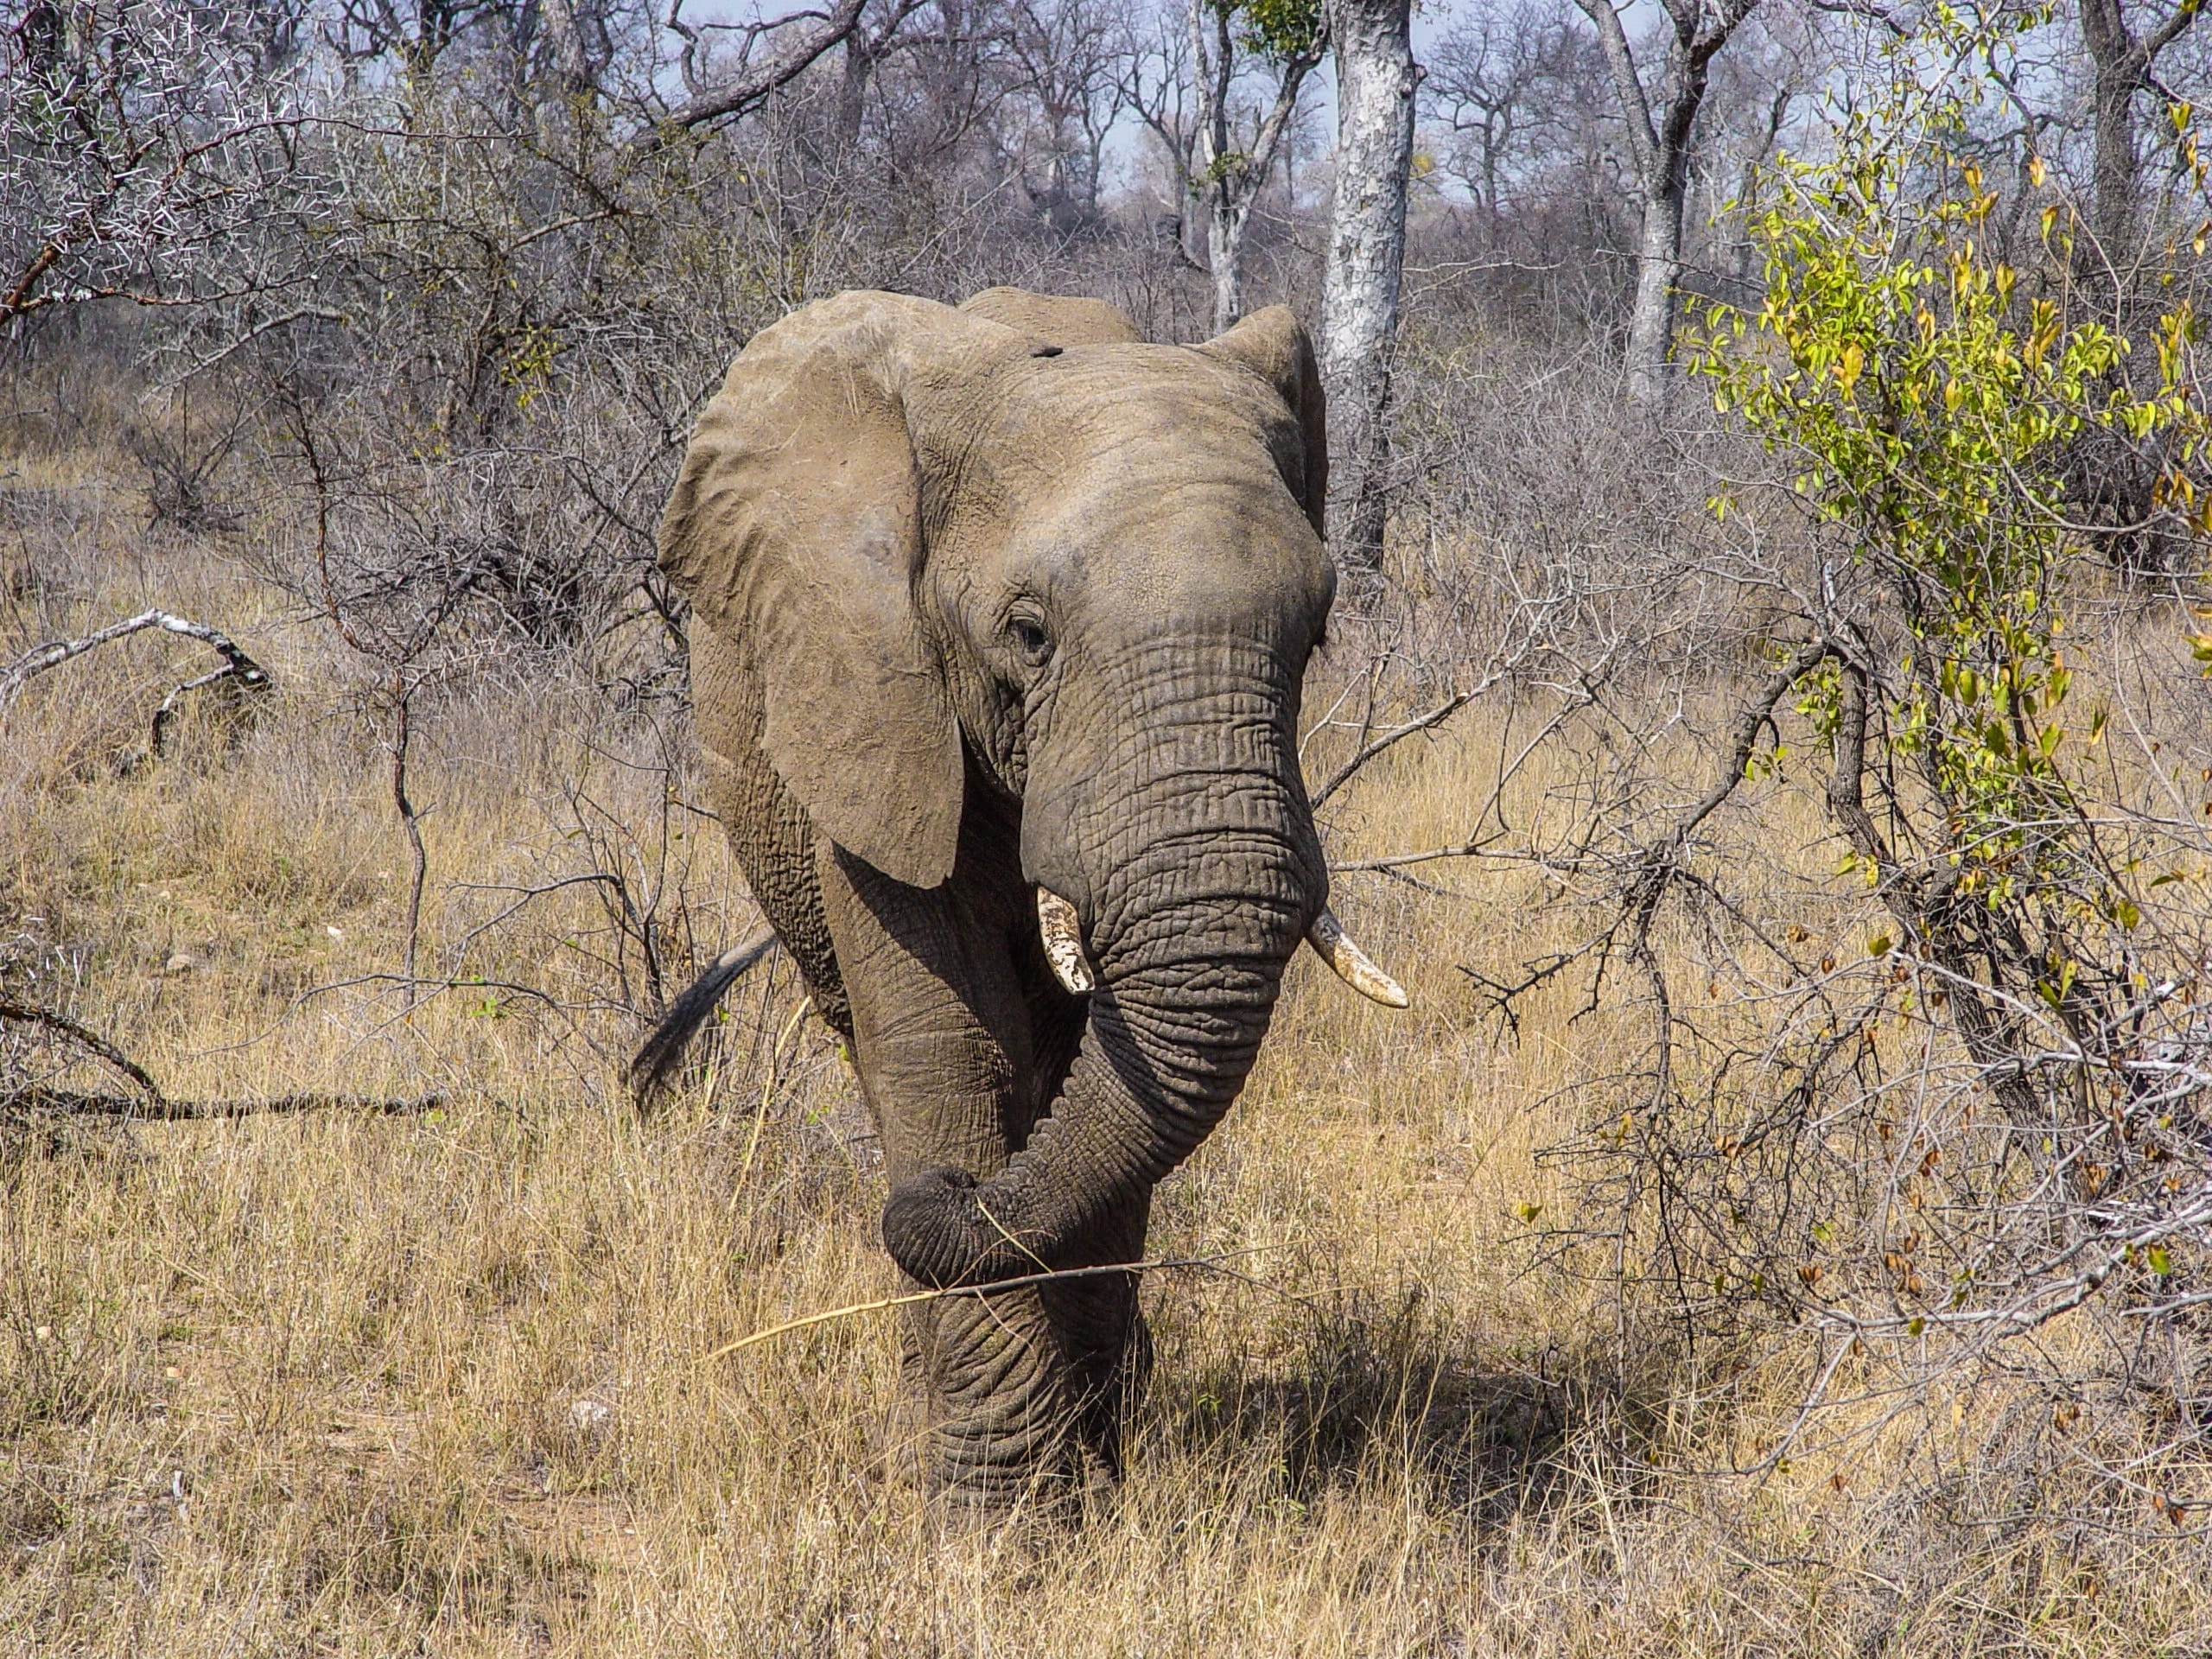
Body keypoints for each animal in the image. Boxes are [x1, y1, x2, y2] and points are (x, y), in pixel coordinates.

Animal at [634, 285, 1407, 1507]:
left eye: (1316, 634)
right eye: (1028, 634)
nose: (936, 1196)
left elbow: (1109, 1077)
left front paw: (1086, 1473)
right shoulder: (870, 706)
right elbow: (953, 1050)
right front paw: (997, 1510)